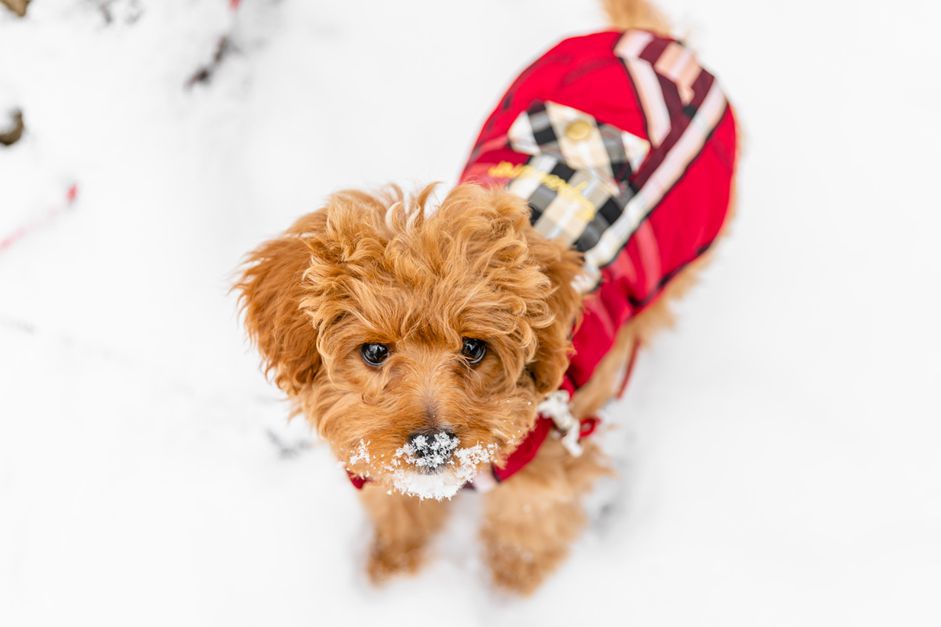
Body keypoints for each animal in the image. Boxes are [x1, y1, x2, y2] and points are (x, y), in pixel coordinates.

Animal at [235, 0, 736, 596]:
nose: (431, 445)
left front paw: (508, 592)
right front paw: (392, 569)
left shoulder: (547, 466)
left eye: (474, 348)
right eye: (375, 352)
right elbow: (398, 504)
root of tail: (646, 39)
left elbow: (526, 527)